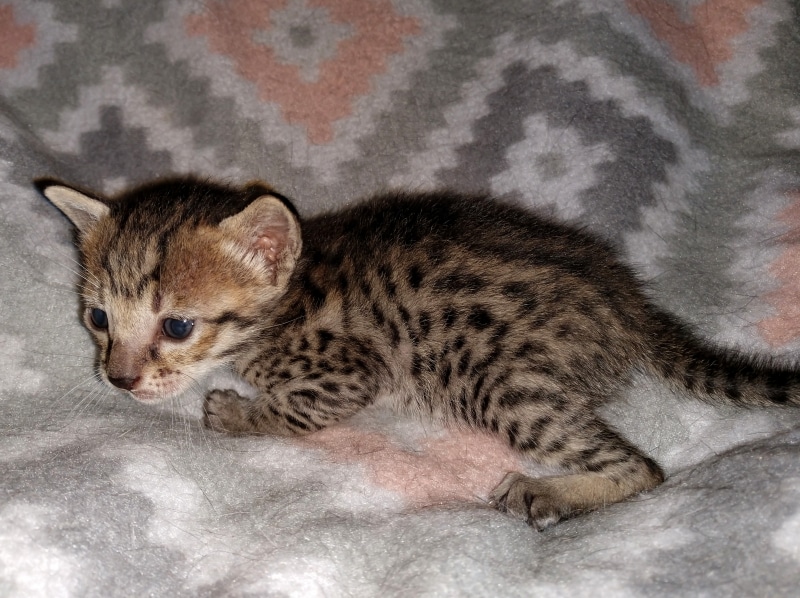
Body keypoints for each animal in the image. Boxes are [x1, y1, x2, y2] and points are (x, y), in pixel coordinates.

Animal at [37, 176, 800, 530]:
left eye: (177, 326)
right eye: (98, 318)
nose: (119, 379)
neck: (286, 302)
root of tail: (626, 298)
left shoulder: (350, 371)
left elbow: (296, 414)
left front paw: (236, 413)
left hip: (495, 381)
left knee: (642, 467)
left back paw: (548, 489)